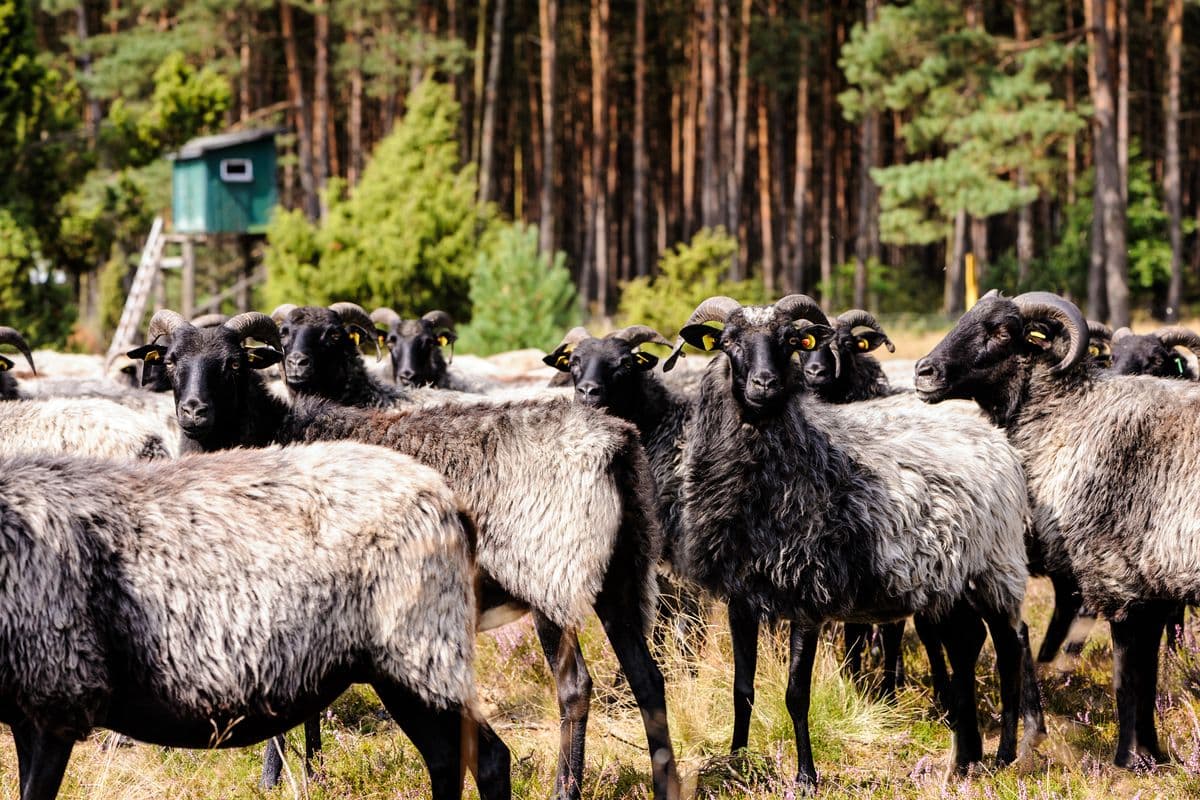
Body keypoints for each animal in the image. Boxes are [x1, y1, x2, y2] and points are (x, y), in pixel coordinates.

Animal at [0, 441, 494, 800]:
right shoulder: (26, 713)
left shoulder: (57, 697)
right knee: (448, 761)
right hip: (401, 667)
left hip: (421, 649)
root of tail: (449, 499)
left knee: (487, 760)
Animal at [131, 307, 686, 800]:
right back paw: (665, 786)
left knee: (574, 687)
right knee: (649, 681)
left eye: (233, 364)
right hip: (623, 574)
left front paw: (274, 778)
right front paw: (312, 773)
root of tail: (613, 443)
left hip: (550, 575)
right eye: (172, 360)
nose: (194, 412)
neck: (268, 432)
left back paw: (564, 790)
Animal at [667, 293, 1041, 786]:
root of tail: (996, 437)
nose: (765, 384)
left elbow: (795, 693)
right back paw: (966, 758)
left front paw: (806, 776)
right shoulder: (740, 598)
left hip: (995, 567)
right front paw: (737, 760)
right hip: (949, 582)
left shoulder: (808, 595)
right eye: (728, 342)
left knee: (1008, 645)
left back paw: (1005, 752)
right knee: (965, 645)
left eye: (790, 341)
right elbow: (741, 688)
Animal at [912, 289, 1200, 767]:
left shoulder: (1116, 574)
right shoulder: (1153, 586)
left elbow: (1127, 674)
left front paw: (1126, 761)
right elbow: (1146, 672)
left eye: (1002, 331)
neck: (1070, 416)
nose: (923, 372)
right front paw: (1152, 756)